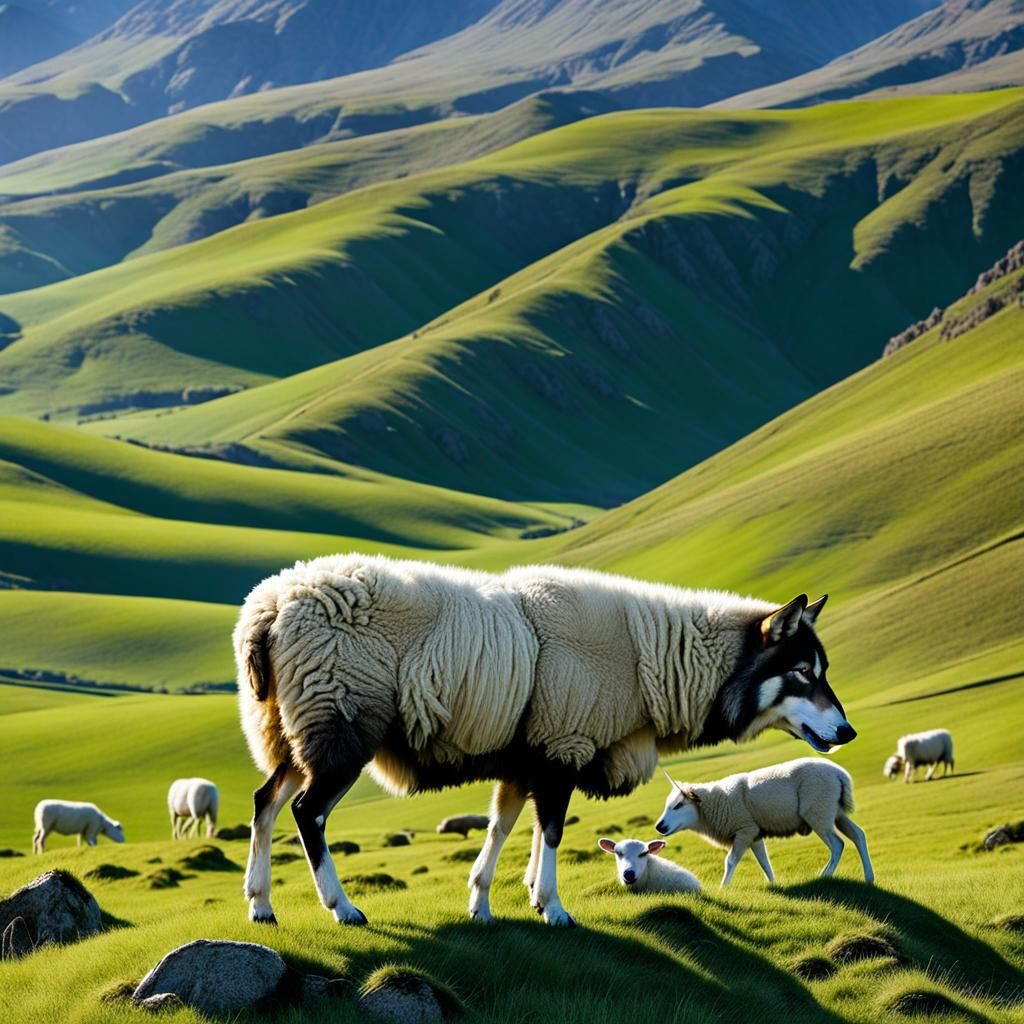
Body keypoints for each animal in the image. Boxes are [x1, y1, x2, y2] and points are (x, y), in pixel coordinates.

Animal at [656, 758, 873, 885]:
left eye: (679, 805)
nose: (659, 826)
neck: (715, 803)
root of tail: (840, 774)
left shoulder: (744, 830)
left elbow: (731, 861)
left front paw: (723, 888)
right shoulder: (754, 833)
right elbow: (764, 861)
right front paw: (773, 884)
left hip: (818, 813)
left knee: (838, 844)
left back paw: (824, 876)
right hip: (835, 812)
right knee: (858, 835)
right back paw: (869, 877)